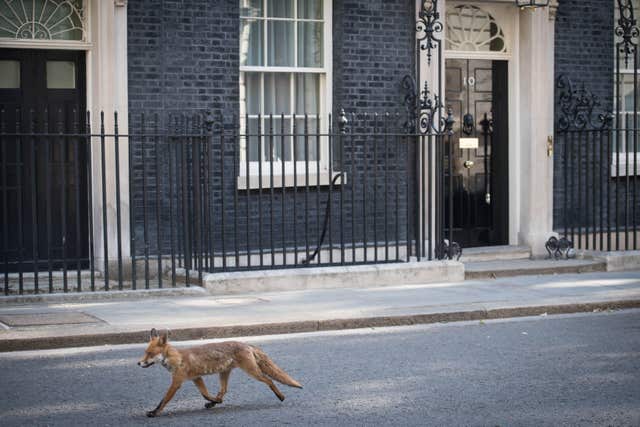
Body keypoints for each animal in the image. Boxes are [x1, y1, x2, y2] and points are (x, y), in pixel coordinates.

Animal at [138, 330, 302, 416]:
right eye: (145, 352)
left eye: (150, 354)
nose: (139, 363)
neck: (177, 359)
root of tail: (245, 343)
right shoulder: (197, 378)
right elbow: (205, 394)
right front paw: (214, 401)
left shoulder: (177, 382)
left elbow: (164, 400)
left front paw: (154, 412)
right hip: (224, 373)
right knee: (223, 390)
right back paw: (214, 402)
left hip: (252, 372)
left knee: (270, 380)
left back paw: (280, 396)